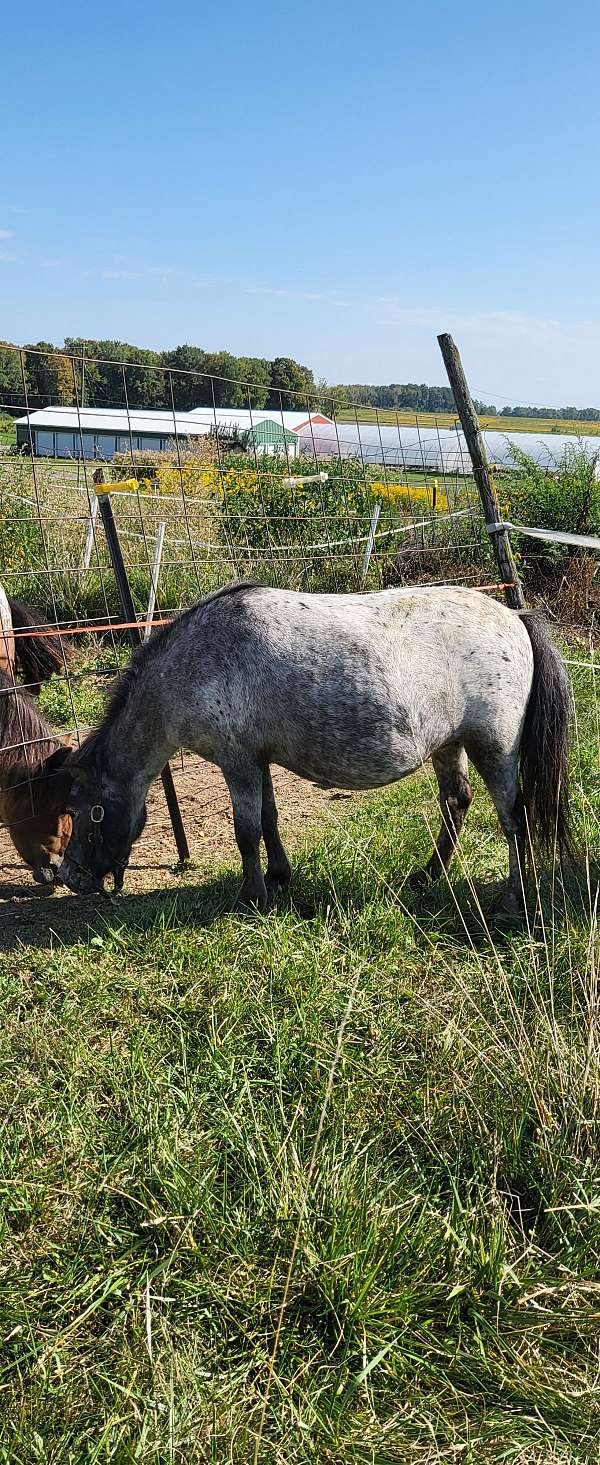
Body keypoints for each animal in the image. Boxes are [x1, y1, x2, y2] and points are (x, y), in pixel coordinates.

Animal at [56, 582, 573, 914]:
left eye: (84, 810)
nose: (70, 877)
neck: (196, 662)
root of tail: (514, 617)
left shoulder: (237, 762)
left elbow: (246, 831)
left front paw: (251, 898)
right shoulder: (257, 760)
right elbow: (268, 819)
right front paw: (278, 877)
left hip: (494, 749)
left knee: (513, 819)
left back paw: (513, 898)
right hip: (450, 745)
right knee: (456, 803)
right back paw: (428, 875)